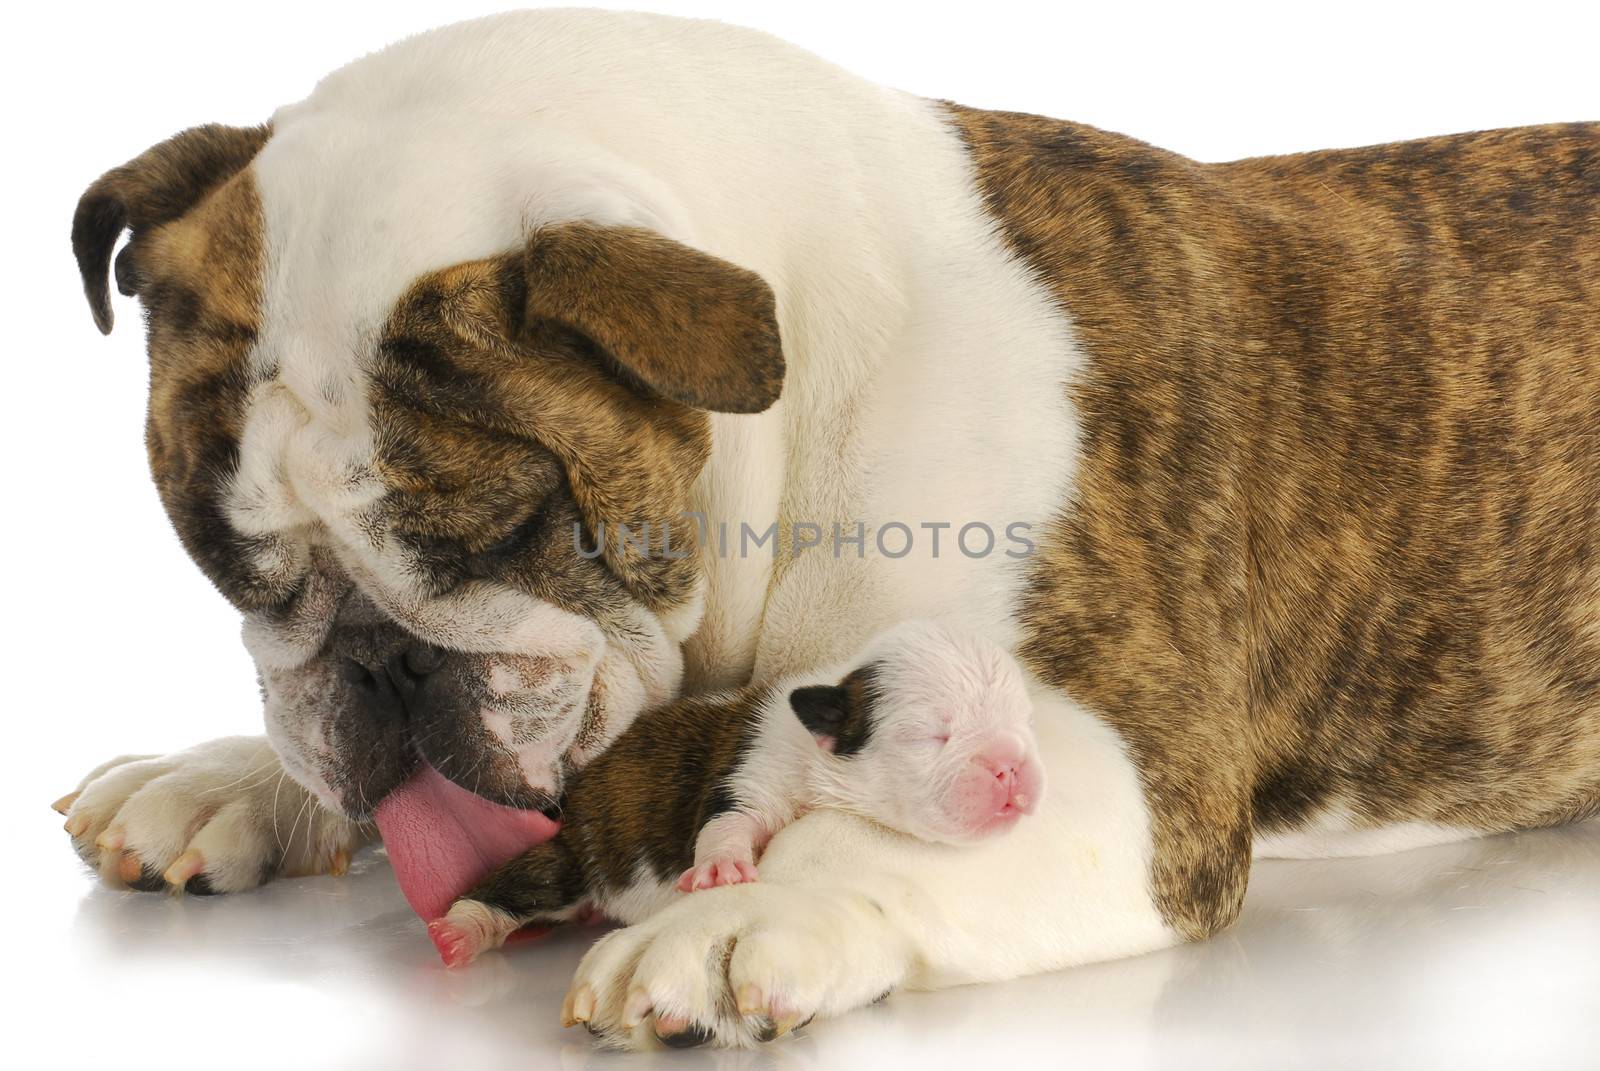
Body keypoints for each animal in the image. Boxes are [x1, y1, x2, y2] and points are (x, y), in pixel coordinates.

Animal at [432, 614, 1043, 966]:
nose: (1011, 766)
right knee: (522, 884)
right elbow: (730, 818)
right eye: (933, 736)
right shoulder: (756, 771)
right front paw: (722, 865)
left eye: (1025, 722)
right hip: (577, 856)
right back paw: (461, 931)